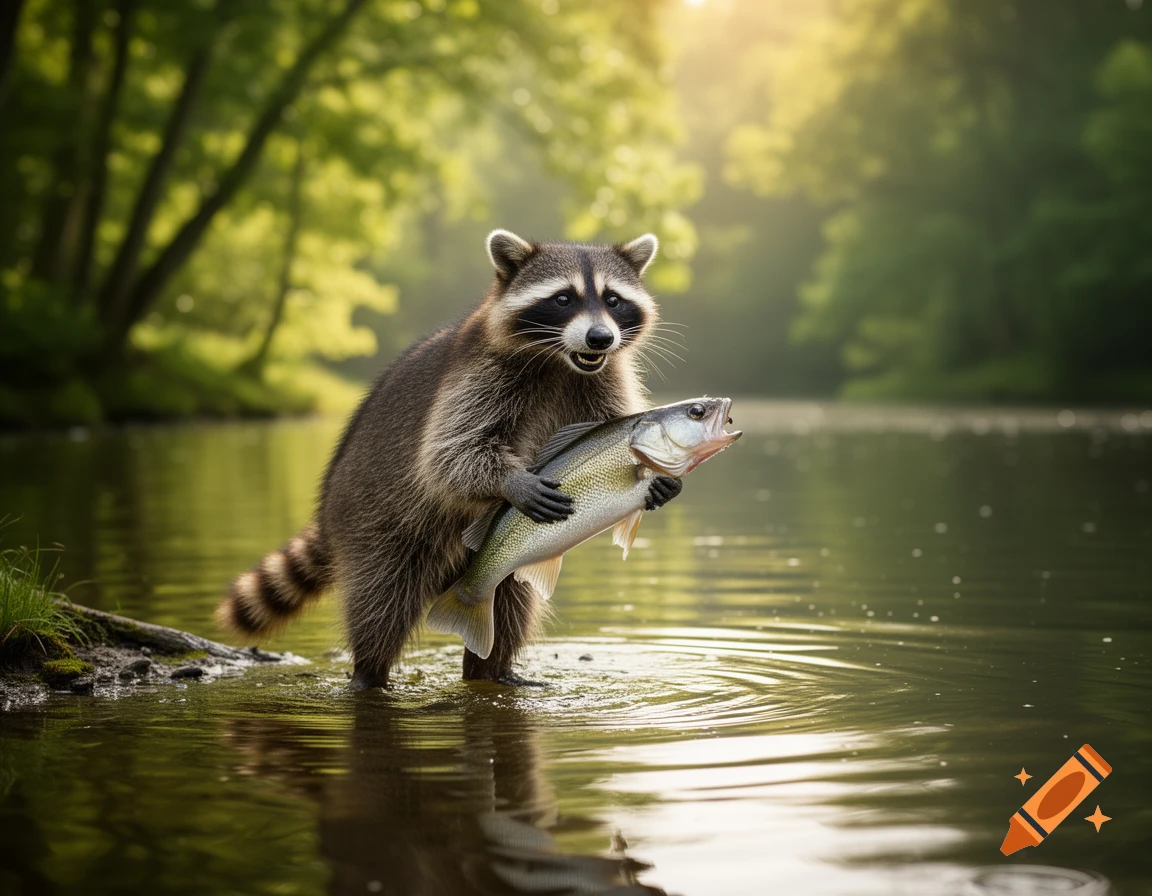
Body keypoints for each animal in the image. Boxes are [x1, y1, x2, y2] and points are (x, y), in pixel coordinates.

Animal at [215, 230, 682, 688]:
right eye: (563, 298)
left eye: (613, 300)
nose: (600, 338)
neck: (561, 362)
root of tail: (329, 513)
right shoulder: (478, 376)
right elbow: (450, 454)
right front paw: (511, 480)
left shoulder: (604, 379)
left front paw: (661, 481)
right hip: (378, 524)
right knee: (381, 601)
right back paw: (369, 672)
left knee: (509, 602)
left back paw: (494, 670)